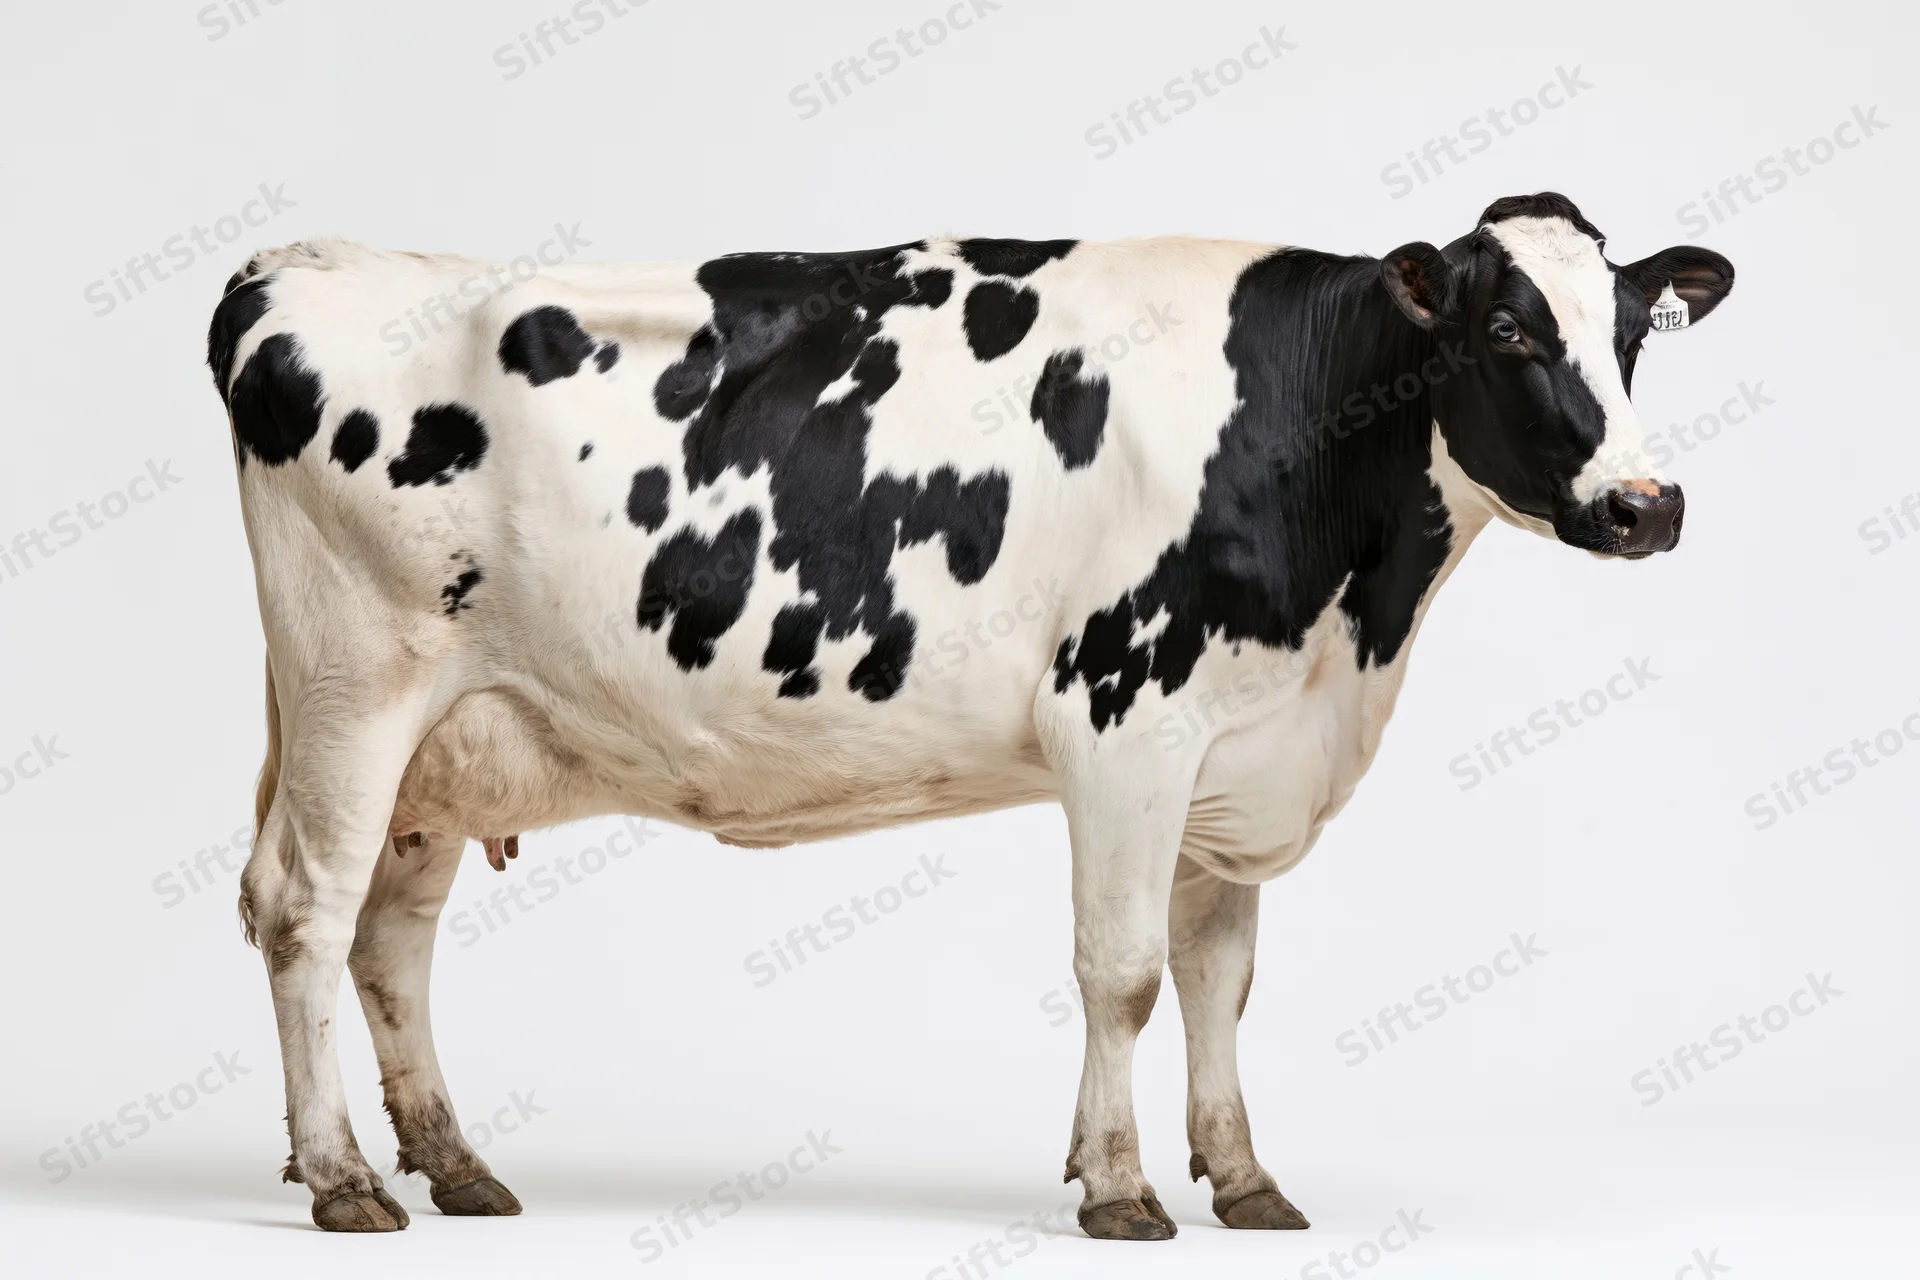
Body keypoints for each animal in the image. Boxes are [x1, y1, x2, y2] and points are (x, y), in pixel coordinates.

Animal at [208, 192, 1733, 1237]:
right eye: (1510, 329)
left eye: (1630, 337)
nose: (1647, 506)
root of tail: (301, 262)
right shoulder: (1124, 718)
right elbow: (1123, 973)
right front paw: (1119, 1188)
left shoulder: (1229, 748)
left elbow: (1219, 977)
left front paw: (1244, 1175)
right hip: (356, 686)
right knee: (305, 910)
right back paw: (343, 1178)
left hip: (450, 735)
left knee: (393, 936)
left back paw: (455, 1164)